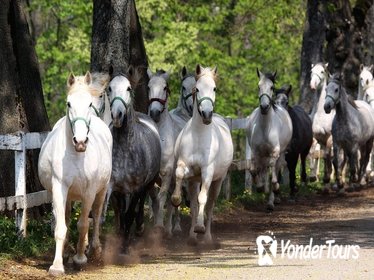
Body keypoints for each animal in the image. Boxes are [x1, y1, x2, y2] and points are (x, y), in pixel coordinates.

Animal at [39, 72, 114, 276]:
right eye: (68, 103)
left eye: (88, 104)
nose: (80, 141)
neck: (76, 155)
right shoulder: (59, 188)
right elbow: (61, 227)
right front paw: (57, 266)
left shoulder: (89, 192)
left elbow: (83, 224)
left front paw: (80, 259)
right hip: (68, 195)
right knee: (65, 217)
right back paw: (66, 253)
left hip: (101, 190)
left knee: (96, 216)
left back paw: (94, 249)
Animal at [107, 66, 161, 254]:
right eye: (109, 88)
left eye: (128, 88)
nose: (117, 115)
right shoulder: (116, 187)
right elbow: (122, 213)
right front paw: (120, 237)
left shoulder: (137, 187)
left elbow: (130, 213)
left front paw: (124, 246)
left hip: (148, 182)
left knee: (141, 203)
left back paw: (139, 229)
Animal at [171, 64, 232, 244]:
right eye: (197, 89)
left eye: (214, 88)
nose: (206, 115)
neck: (199, 135)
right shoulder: (186, 167)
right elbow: (179, 175)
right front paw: (176, 199)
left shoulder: (207, 172)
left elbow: (203, 199)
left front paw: (200, 227)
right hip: (194, 181)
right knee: (193, 203)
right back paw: (192, 236)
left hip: (218, 181)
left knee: (210, 205)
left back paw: (206, 237)